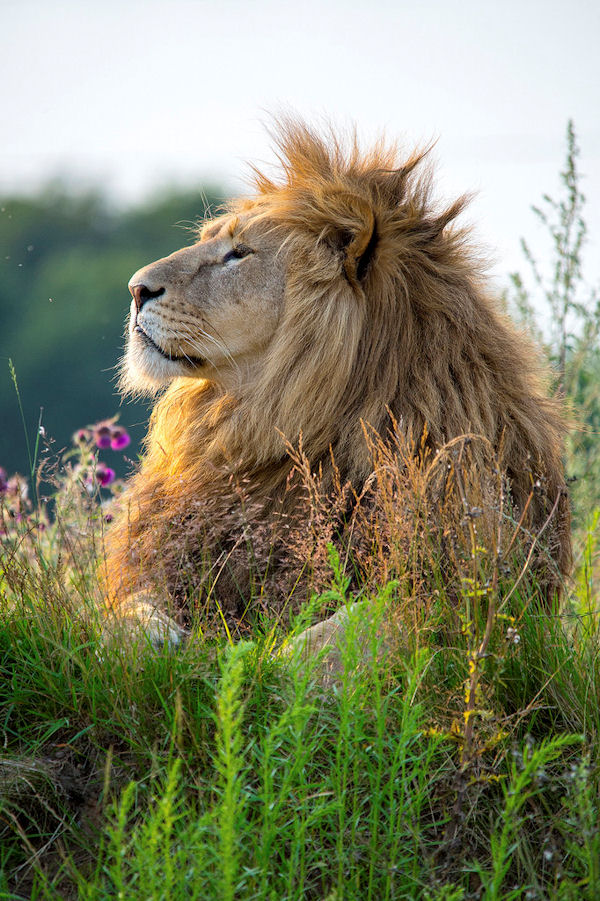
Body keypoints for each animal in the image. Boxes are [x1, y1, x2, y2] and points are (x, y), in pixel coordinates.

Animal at [102, 119, 571, 650]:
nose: (136, 289)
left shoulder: (459, 598)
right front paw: (159, 643)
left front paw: (268, 658)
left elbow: (348, 627)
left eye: (239, 253)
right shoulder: (157, 566)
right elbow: (128, 614)